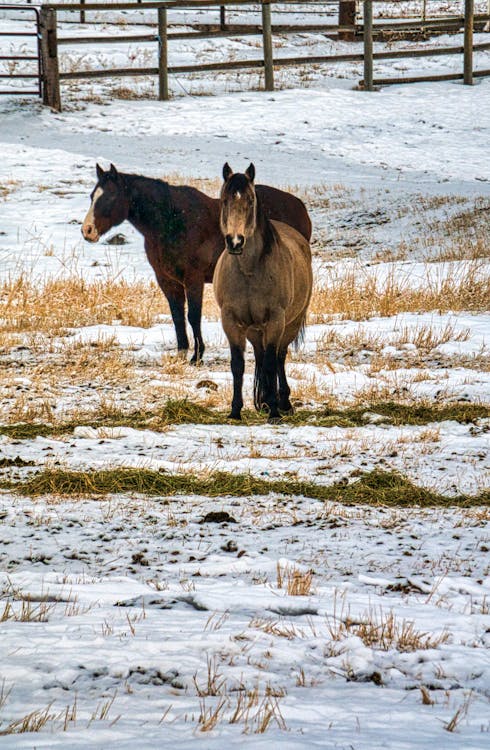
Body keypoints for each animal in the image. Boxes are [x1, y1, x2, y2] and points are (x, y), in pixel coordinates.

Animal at [80, 164, 310, 364]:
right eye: (92, 196)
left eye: (110, 196)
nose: (87, 230)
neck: (172, 221)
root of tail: (300, 206)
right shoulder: (167, 280)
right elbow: (177, 316)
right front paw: (182, 352)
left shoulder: (193, 279)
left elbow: (193, 316)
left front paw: (197, 356)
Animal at [212, 163, 312, 424]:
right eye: (224, 200)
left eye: (250, 200)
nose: (235, 242)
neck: (249, 271)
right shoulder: (231, 321)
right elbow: (238, 365)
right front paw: (235, 411)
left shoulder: (276, 320)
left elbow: (270, 363)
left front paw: (275, 411)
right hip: (255, 330)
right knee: (261, 355)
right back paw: (265, 400)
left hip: (289, 324)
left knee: (278, 357)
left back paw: (282, 402)